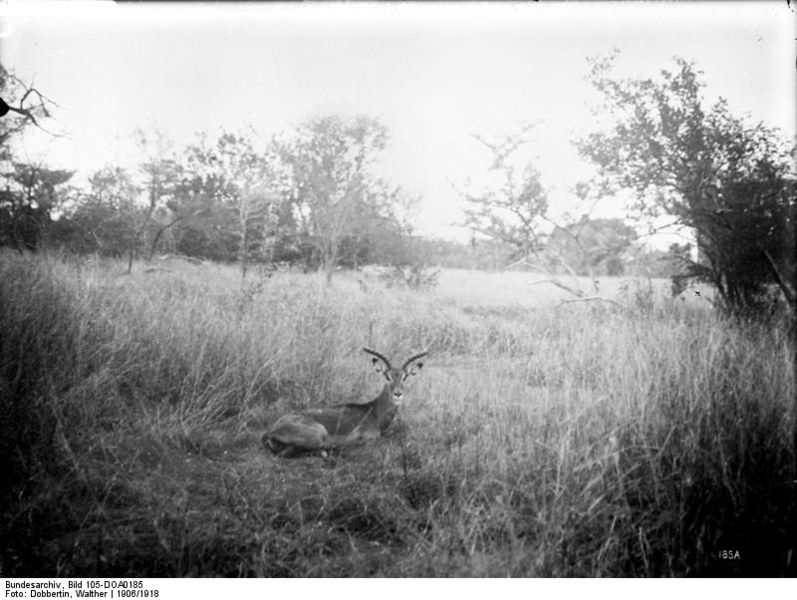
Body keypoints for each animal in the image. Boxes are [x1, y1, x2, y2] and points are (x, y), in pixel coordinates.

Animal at [262, 350, 426, 458]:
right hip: (319, 434)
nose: (398, 394)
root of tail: (272, 431)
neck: (373, 412)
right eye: (387, 376)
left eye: (404, 377)